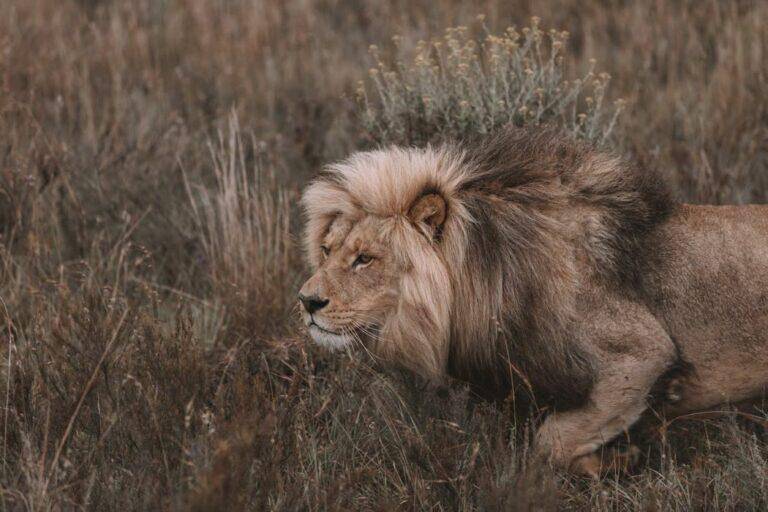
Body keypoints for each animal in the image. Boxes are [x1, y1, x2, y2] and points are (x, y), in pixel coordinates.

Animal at [297, 127, 768, 475]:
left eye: (364, 259)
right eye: (327, 249)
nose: (307, 301)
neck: (486, 273)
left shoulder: (641, 355)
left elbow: (551, 441)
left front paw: (619, 461)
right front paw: (614, 461)